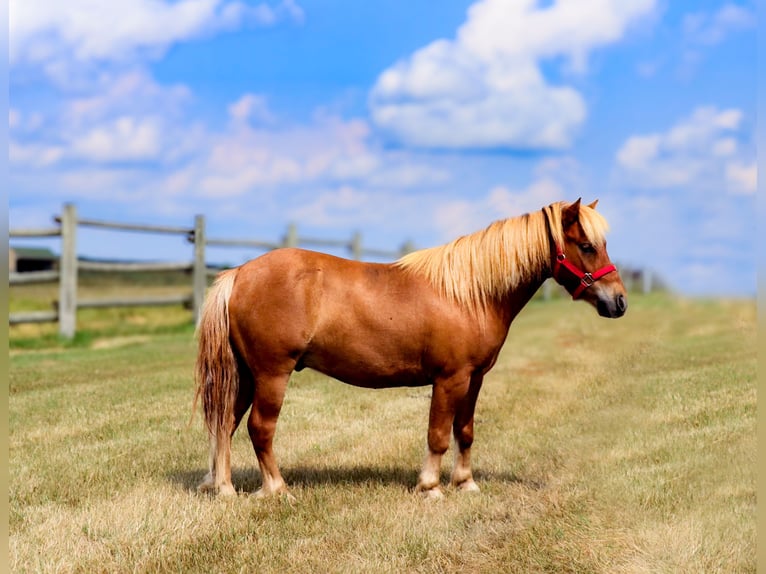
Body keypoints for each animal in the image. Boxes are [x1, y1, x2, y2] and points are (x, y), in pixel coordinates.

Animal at [194, 198, 632, 500]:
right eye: (586, 245)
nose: (619, 302)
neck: (469, 294)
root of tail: (240, 273)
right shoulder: (449, 379)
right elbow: (438, 434)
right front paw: (430, 488)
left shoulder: (474, 379)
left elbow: (465, 431)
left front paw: (466, 484)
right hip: (272, 374)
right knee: (260, 428)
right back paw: (277, 489)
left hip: (247, 375)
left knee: (226, 424)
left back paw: (224, 489)